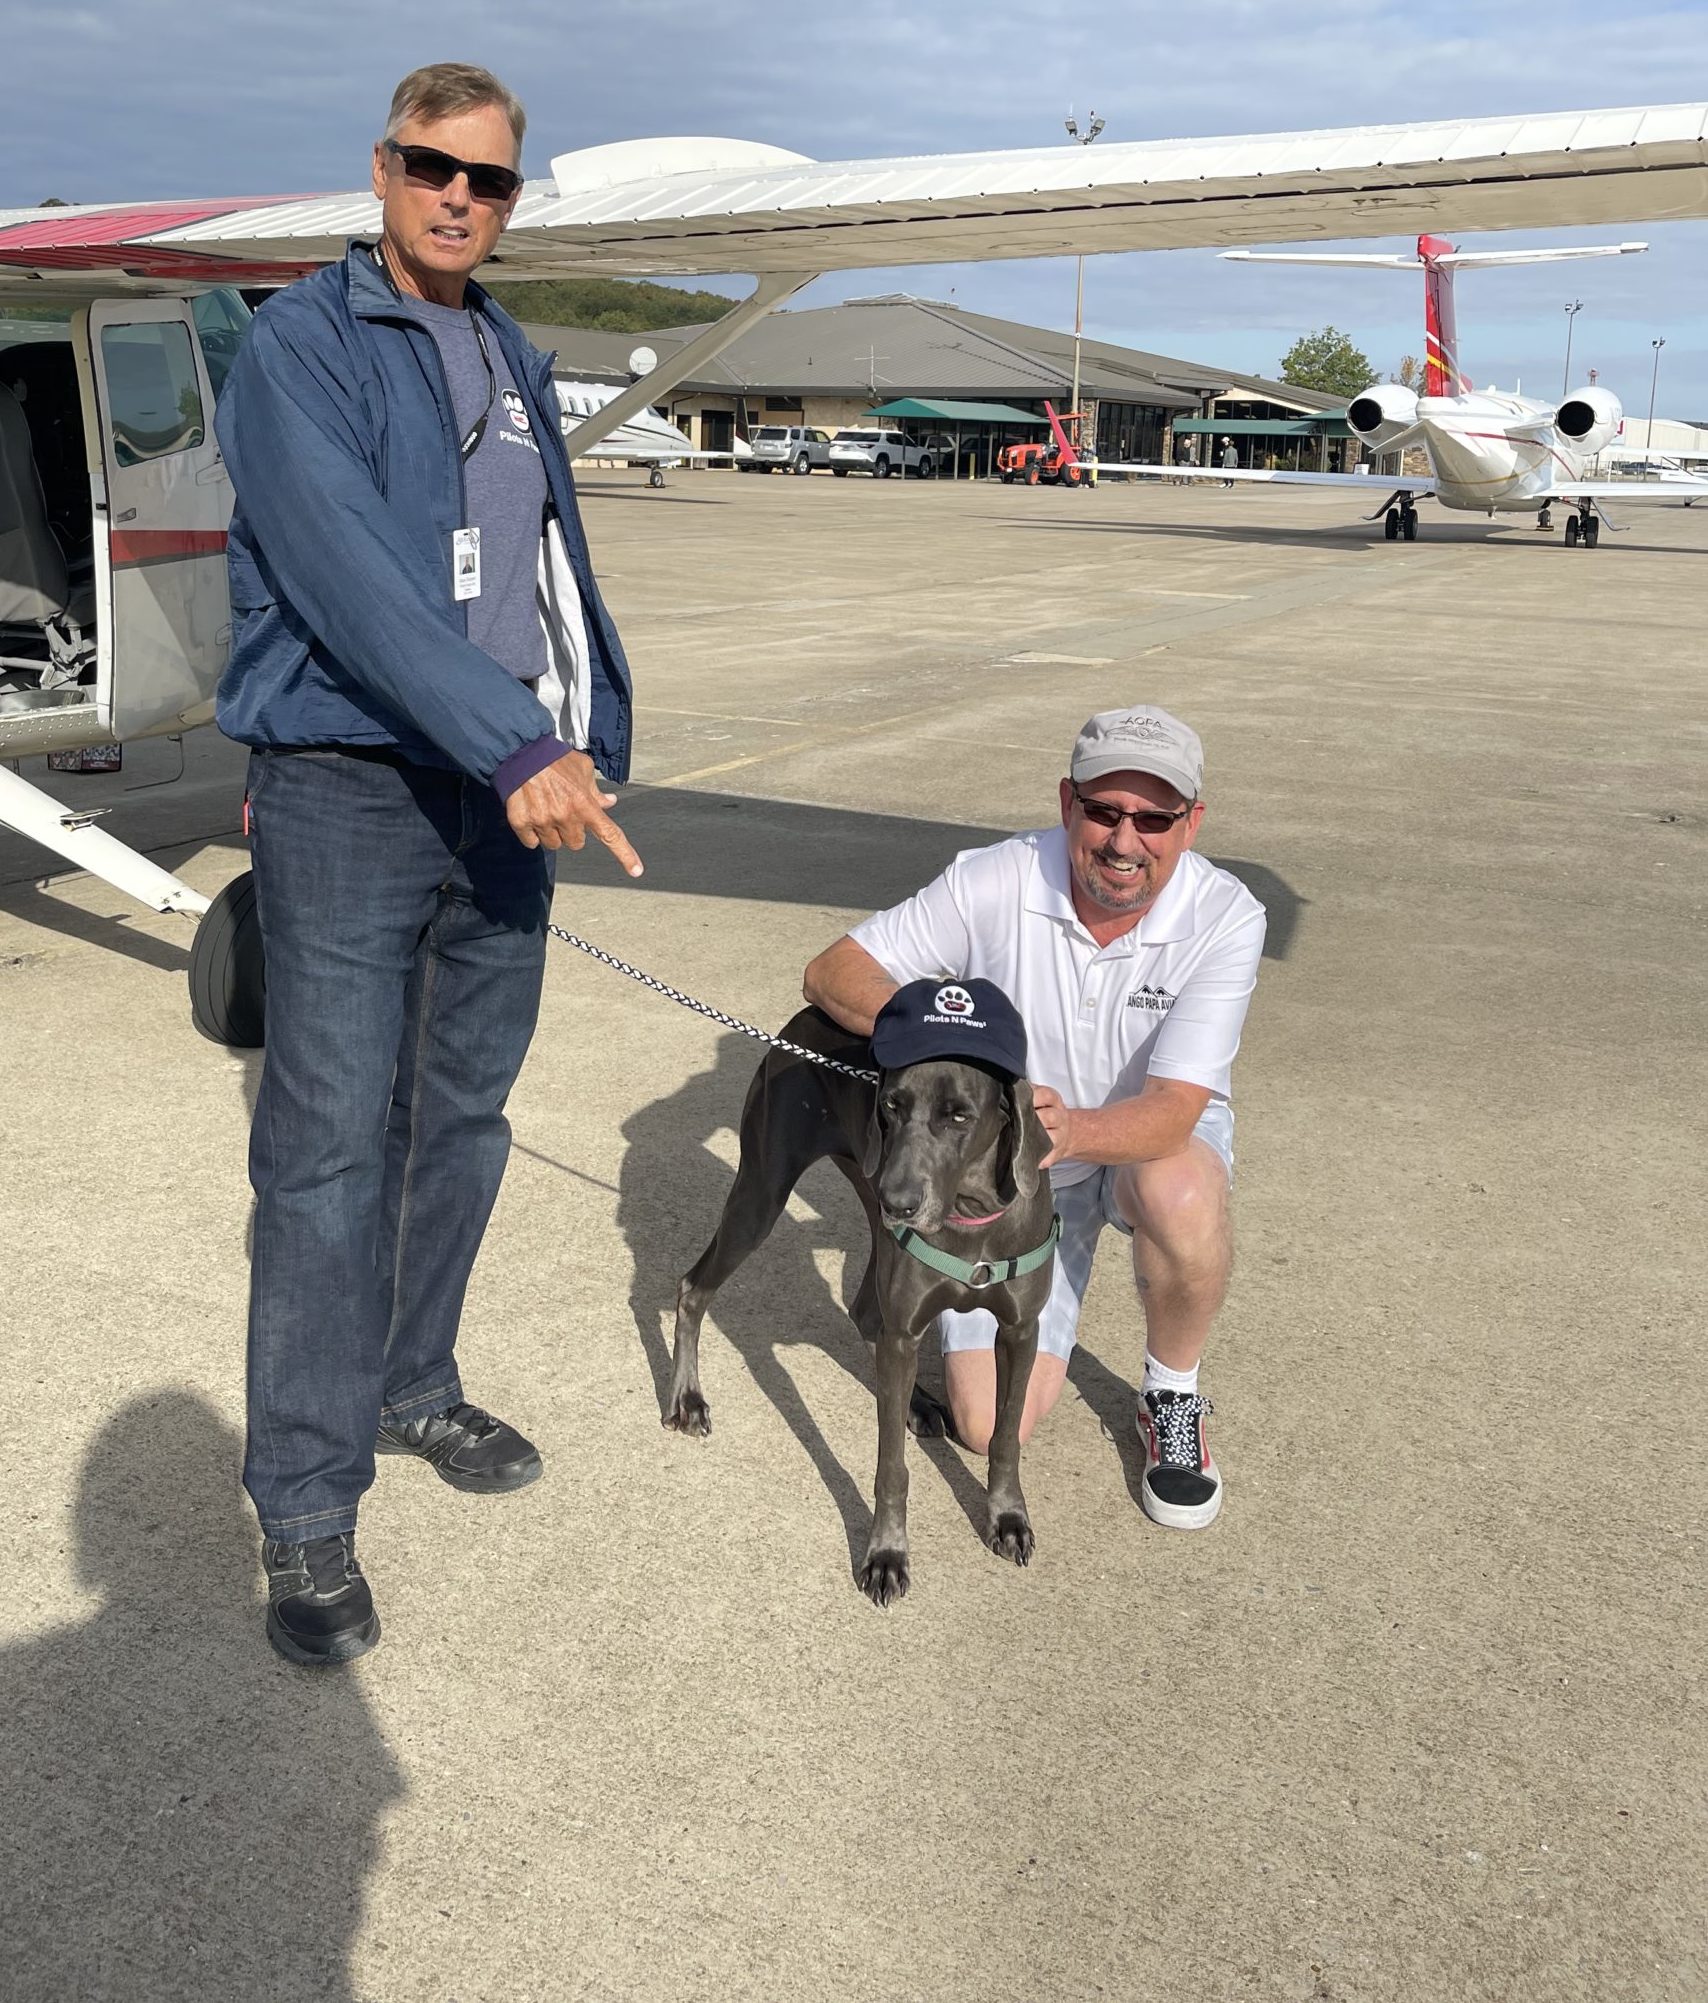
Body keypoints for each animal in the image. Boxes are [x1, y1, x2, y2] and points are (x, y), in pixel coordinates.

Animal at [664, 985, 1049, 1610]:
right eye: (891, 1104)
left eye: (959, 1115)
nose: (900, 1201)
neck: (970, 1222)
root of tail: (805, 1018)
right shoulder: (905, 1332)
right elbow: (892, 1465)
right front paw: (887, 1554)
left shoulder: (1021, 1331)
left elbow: (1005, 1433)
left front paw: (1008, 1517)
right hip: (765, 1191)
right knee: (693, 1288)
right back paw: (687, 1398)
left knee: (867, 1311)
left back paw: (918, 1402)